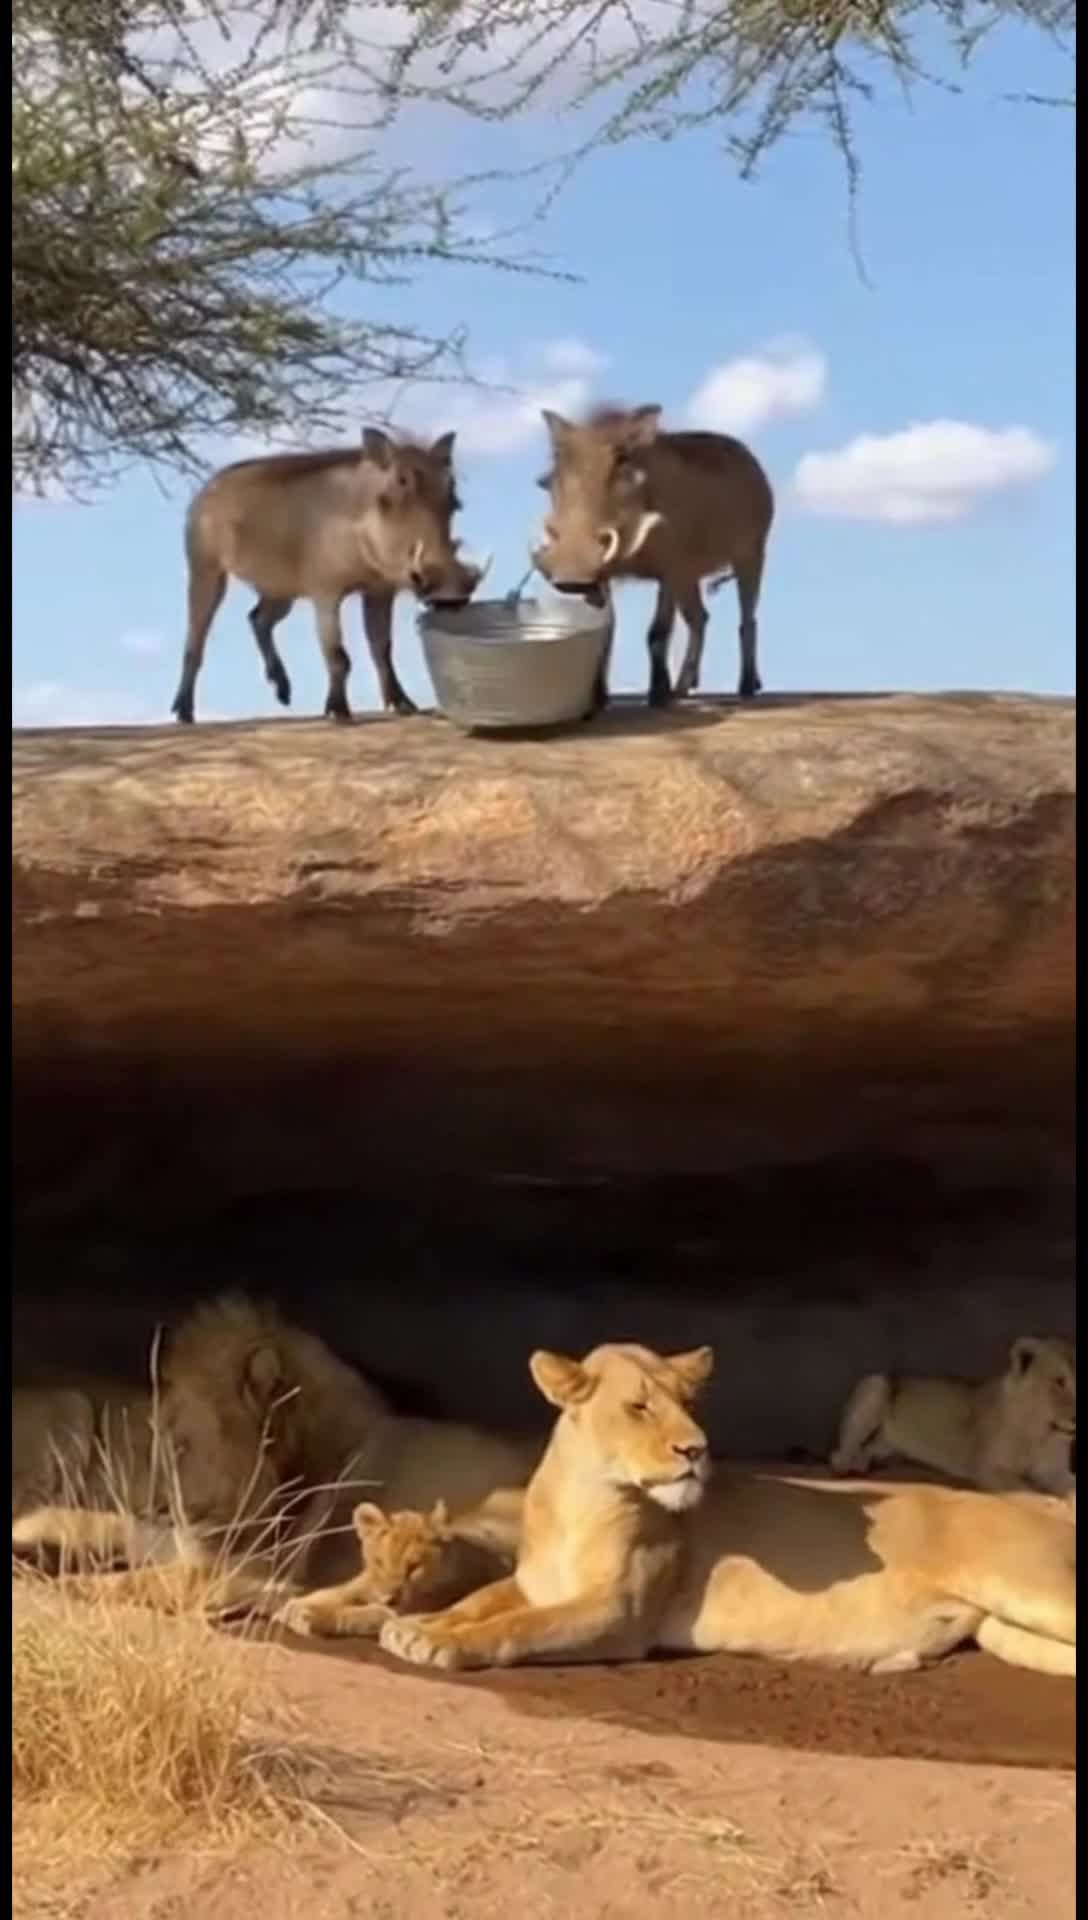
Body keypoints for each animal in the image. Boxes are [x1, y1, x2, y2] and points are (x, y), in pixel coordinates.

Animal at [12, 1293, 538, 1609]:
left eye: (183, 1443)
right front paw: (32, 1534)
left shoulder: (235, 1568)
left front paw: (67, 1583)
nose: (155, 1505)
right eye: (159, 1439)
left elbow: (139, 1579)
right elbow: (98, 1523)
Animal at [274, 1491, 520, 1639]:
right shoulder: (363, 1582)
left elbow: (359, 1614)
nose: (389, 1598)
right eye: (379, 1562)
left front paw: (310, 1614)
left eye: (413, 1567)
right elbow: (336, 1592)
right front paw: (292, 1605)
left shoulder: (402, 1611)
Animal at [830, 1336, 1076, 1495]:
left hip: (886, 1444)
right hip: (875, 1385)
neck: (1040, 1432)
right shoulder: (989, 1468)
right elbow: (1030, 1492)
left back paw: (861, 1462)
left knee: (868, 1448)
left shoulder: (1053, 1470)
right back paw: (845, 1465)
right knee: (841, 1451)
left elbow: (1069, 1485)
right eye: (1059, 1381)